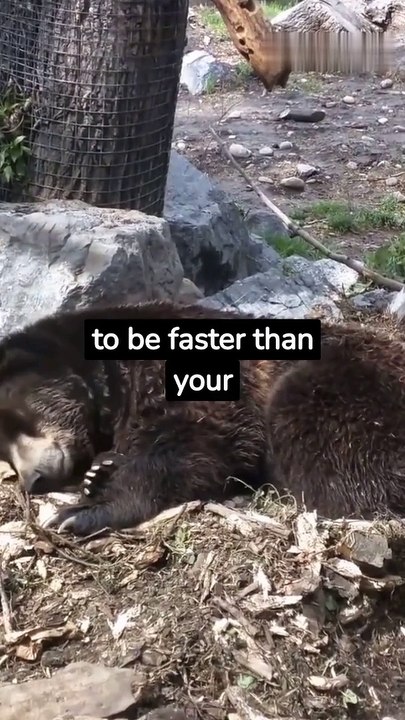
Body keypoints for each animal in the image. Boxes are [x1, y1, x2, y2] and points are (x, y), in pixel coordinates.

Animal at [0, 299, 405, 535]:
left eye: (16, 419)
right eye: (1, 452)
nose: (34, 479)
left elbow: (202, 442)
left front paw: (80, 510)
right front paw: (99, 471)